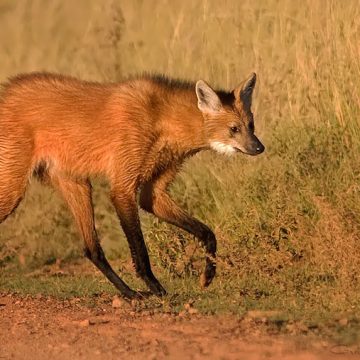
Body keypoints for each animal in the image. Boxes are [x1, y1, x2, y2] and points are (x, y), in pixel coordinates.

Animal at [0, 71, 264, 298]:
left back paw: (128, 293)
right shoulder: (122, 188)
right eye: (234, 129)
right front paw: (157, 289)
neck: (161, 117)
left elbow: (207, 233)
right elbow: (141, 251)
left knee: (92, 249)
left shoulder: (152, 194)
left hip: (76, 184)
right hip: (14, 188)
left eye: (251, 126)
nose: (259, 148)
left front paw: (208, 275)